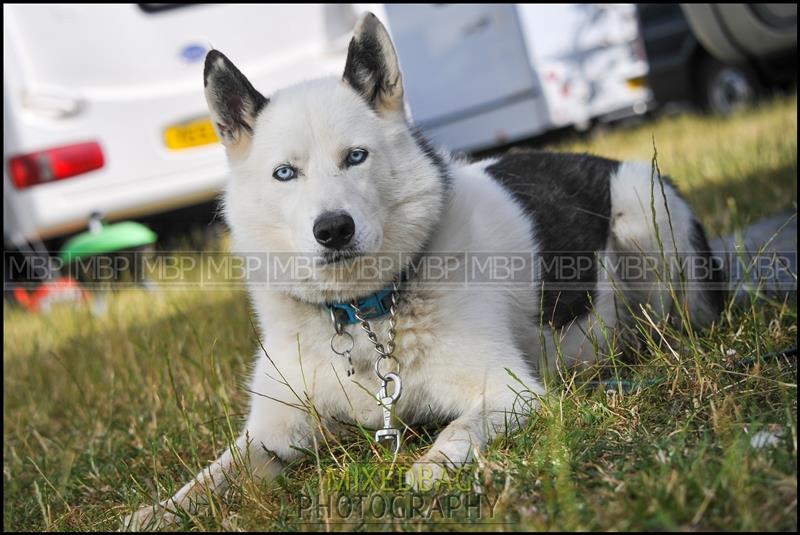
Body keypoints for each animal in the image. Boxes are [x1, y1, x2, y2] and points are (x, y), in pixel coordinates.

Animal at [126, 11, 724, 528]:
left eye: (356, 157)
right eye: (284, 173)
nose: (333, 230)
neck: (364, 312)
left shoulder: (510, 394)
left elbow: (457, 430)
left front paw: (430, 468)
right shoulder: (272, 433)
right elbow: (208, 478)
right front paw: (156, 511)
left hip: (641, 216)